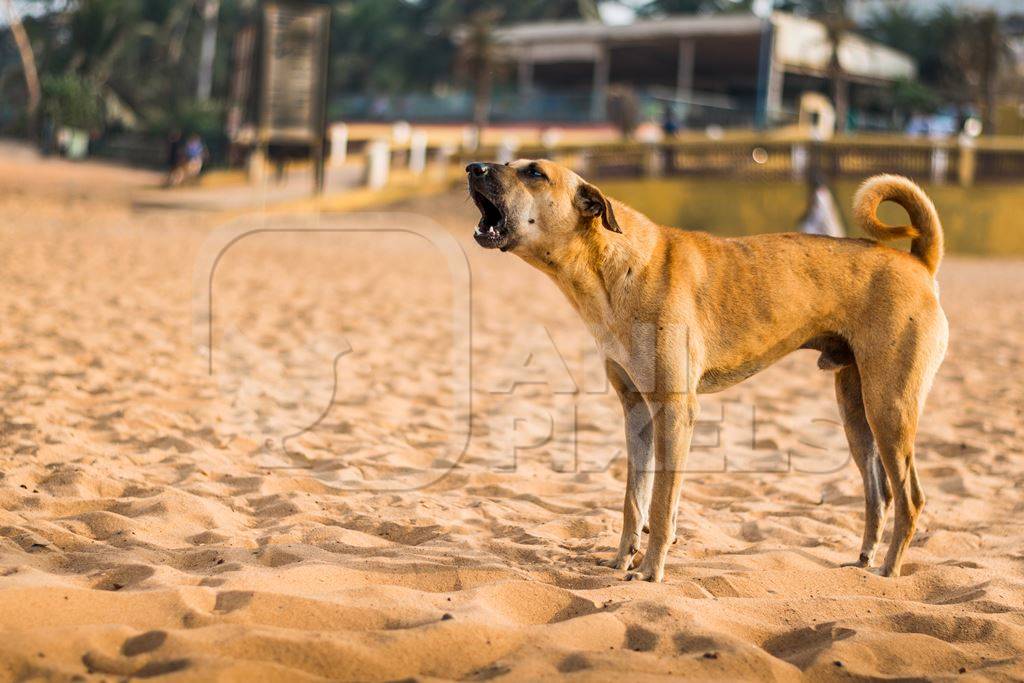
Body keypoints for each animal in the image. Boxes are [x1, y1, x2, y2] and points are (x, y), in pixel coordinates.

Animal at [468, 158, 946, 581]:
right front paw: (622, 559)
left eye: (535, 172)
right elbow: (634, 500)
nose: (473, 167)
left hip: (889, 408)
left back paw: (889, 570)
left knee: (912, 498)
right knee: (880, 493)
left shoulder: (675, 412)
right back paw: (864, 562)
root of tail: (919, 262)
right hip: (856, 411)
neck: (613, 264)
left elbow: (662, 504)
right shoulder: (637, 414)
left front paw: (650, 571)